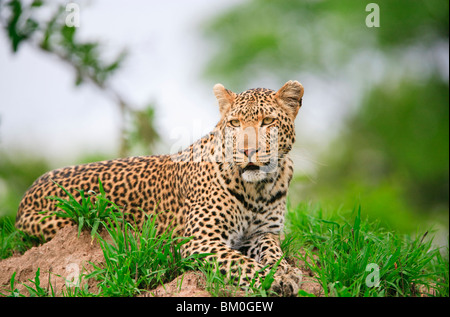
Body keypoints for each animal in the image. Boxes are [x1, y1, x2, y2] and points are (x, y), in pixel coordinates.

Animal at [16, 79, 306, 296]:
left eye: (267, 122)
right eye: (235, 124)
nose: (247, 151)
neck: (258, 189)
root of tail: (27, 194)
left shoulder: (263, 232)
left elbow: (273, 250)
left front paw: (285, 270)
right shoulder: (201, 242)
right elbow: (242, 264)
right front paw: (275, 280)